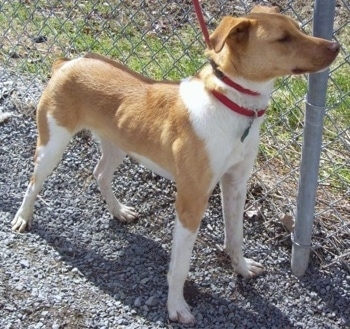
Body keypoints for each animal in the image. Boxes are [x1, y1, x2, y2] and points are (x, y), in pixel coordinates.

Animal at [11, 6, 340, 324]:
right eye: (283, 39)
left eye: (298, 28)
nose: (336, 45)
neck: (231, 103)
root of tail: (68, 62)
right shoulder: (191, 201)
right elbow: (180, 266)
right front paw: (176, 307)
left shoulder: (236, 184)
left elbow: (235, 237)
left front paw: (242, 268)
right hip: (52, 145)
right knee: (33, 182)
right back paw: (22, 218)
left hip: (118, 143)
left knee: (100, 173)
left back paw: (118, 211)